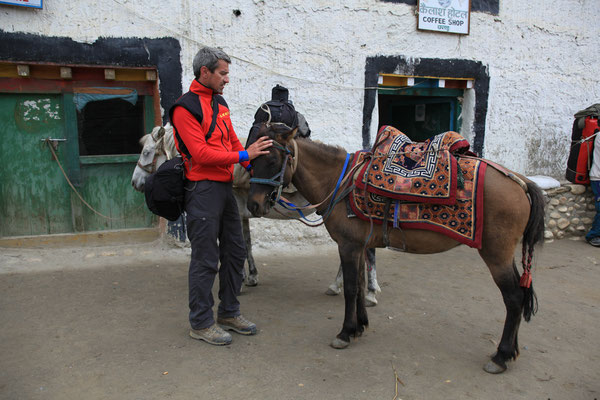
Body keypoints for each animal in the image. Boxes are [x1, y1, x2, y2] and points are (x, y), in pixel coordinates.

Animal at [246, 123, 548, 374]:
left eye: (271, 160)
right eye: (251, 160)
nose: (253, 205)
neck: (338, 181)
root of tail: (520, 181)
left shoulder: (348, 246)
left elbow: (351, 289)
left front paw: (345, 333)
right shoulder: (358, 246)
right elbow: (359, 285)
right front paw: (359, 326)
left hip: (496, 255)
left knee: (513, 298)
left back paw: (501, 356)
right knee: (521, 295)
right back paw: (511, 352)